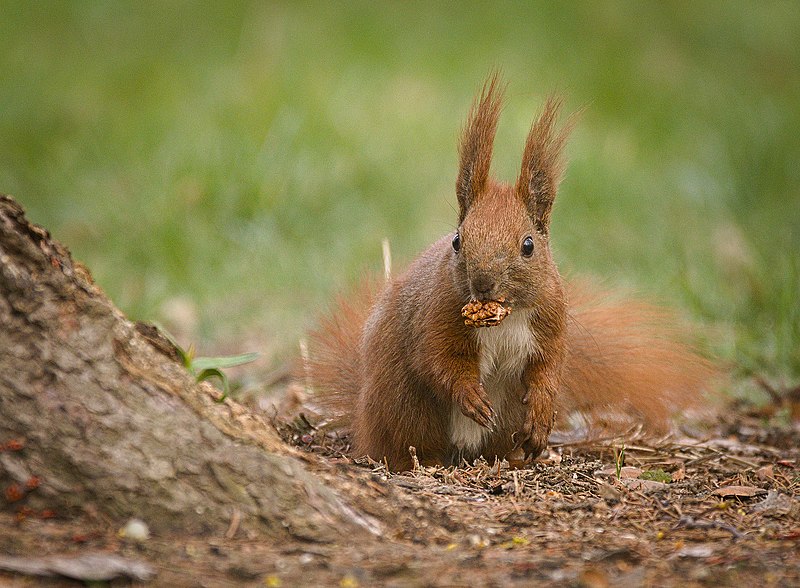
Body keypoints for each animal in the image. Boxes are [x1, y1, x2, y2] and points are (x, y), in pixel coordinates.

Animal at [304, 73, 716, 470]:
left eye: (528, 245)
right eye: (457, 240)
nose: (482, 283)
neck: (505, 315)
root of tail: (364, 421)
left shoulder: (551, 323)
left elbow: (549, 368)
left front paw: (542, 416)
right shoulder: (436, 316)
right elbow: (439, 360)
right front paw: (470, 395)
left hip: (501, 420)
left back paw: (512, 456)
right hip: (404, 404)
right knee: (409, 443)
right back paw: (421, 461)